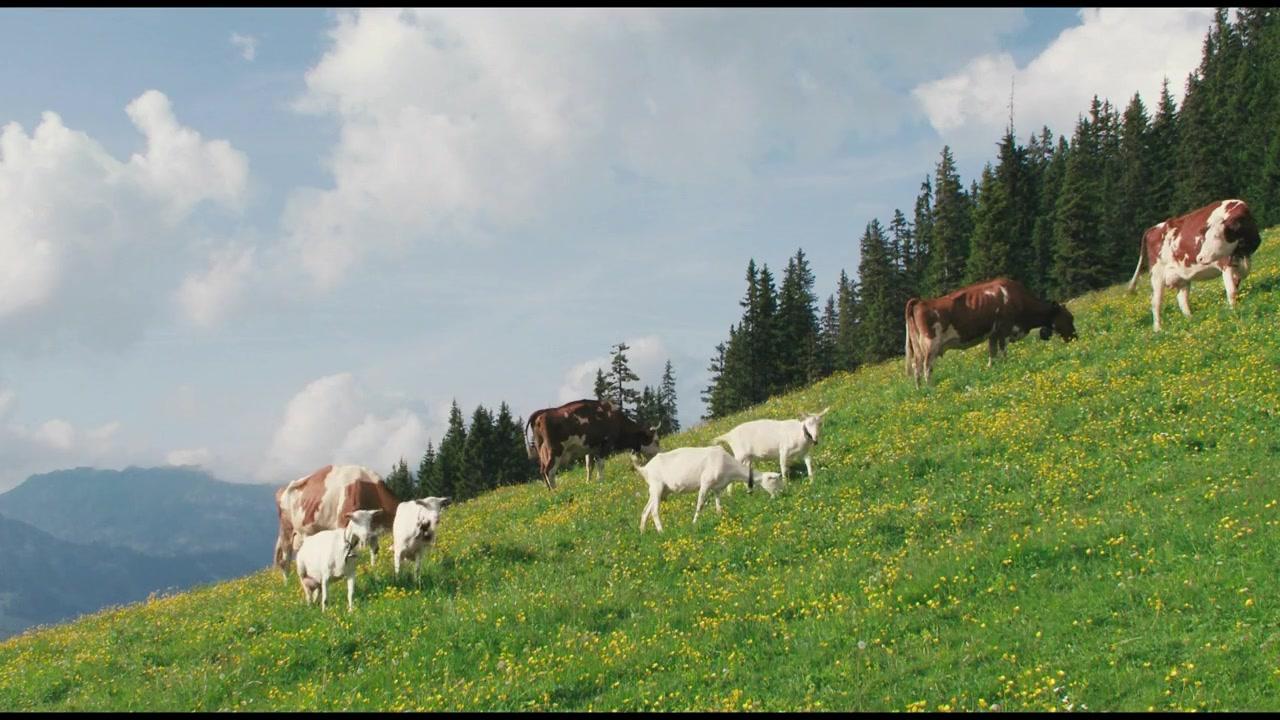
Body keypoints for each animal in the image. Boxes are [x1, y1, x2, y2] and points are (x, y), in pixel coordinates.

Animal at [524, 394, 660, 489]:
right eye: (656, 441)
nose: (660, 454)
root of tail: (542, 413)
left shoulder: (590, 448)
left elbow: (589, 466)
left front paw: (588, 482)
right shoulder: (605, 443)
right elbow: (600, 464)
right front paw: (601, 480)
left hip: (542, 451)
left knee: (542, 471)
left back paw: (549, 491)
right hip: (555, 450)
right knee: (549, 471)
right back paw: (555, 491)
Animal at [629, 443, 778, 527]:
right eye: (773, 480)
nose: (779, 496)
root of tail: (645, 468)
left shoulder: (717, 488)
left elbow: (718, 505)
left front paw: (720, 517)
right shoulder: (705, 483)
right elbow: (700, 504)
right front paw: (694, 523)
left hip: (659, 491)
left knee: (645, 511)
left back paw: (643, 533)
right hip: (657, 487)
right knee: (654, 511)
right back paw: (661, 532)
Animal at [906, 275, 1075, 386]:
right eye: (1069, 318)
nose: (1075, 337)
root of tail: (920, 302)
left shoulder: (993, 334)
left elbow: (992, 354)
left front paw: (991, 369)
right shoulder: (1004, 329)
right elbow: (1003, 351)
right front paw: (1006, 366)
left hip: (918, 347)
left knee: (916, 366)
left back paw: (920, 390)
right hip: (931, 343)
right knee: (927, 367)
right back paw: (930, 388)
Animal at [1131, 196, 1259, 330]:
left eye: (1217, 236)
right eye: (1205, 238)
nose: (1200, 258)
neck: (1243, 251)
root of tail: (1153, 228)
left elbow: (1235, 287)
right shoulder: (1225, 264)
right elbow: (1232, 290)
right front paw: (1233, 310)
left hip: (1181, 277)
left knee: (1182, 299)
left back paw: (1190, 319)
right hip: (1157, 275)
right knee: (1156, 302)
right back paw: (1158, 329)